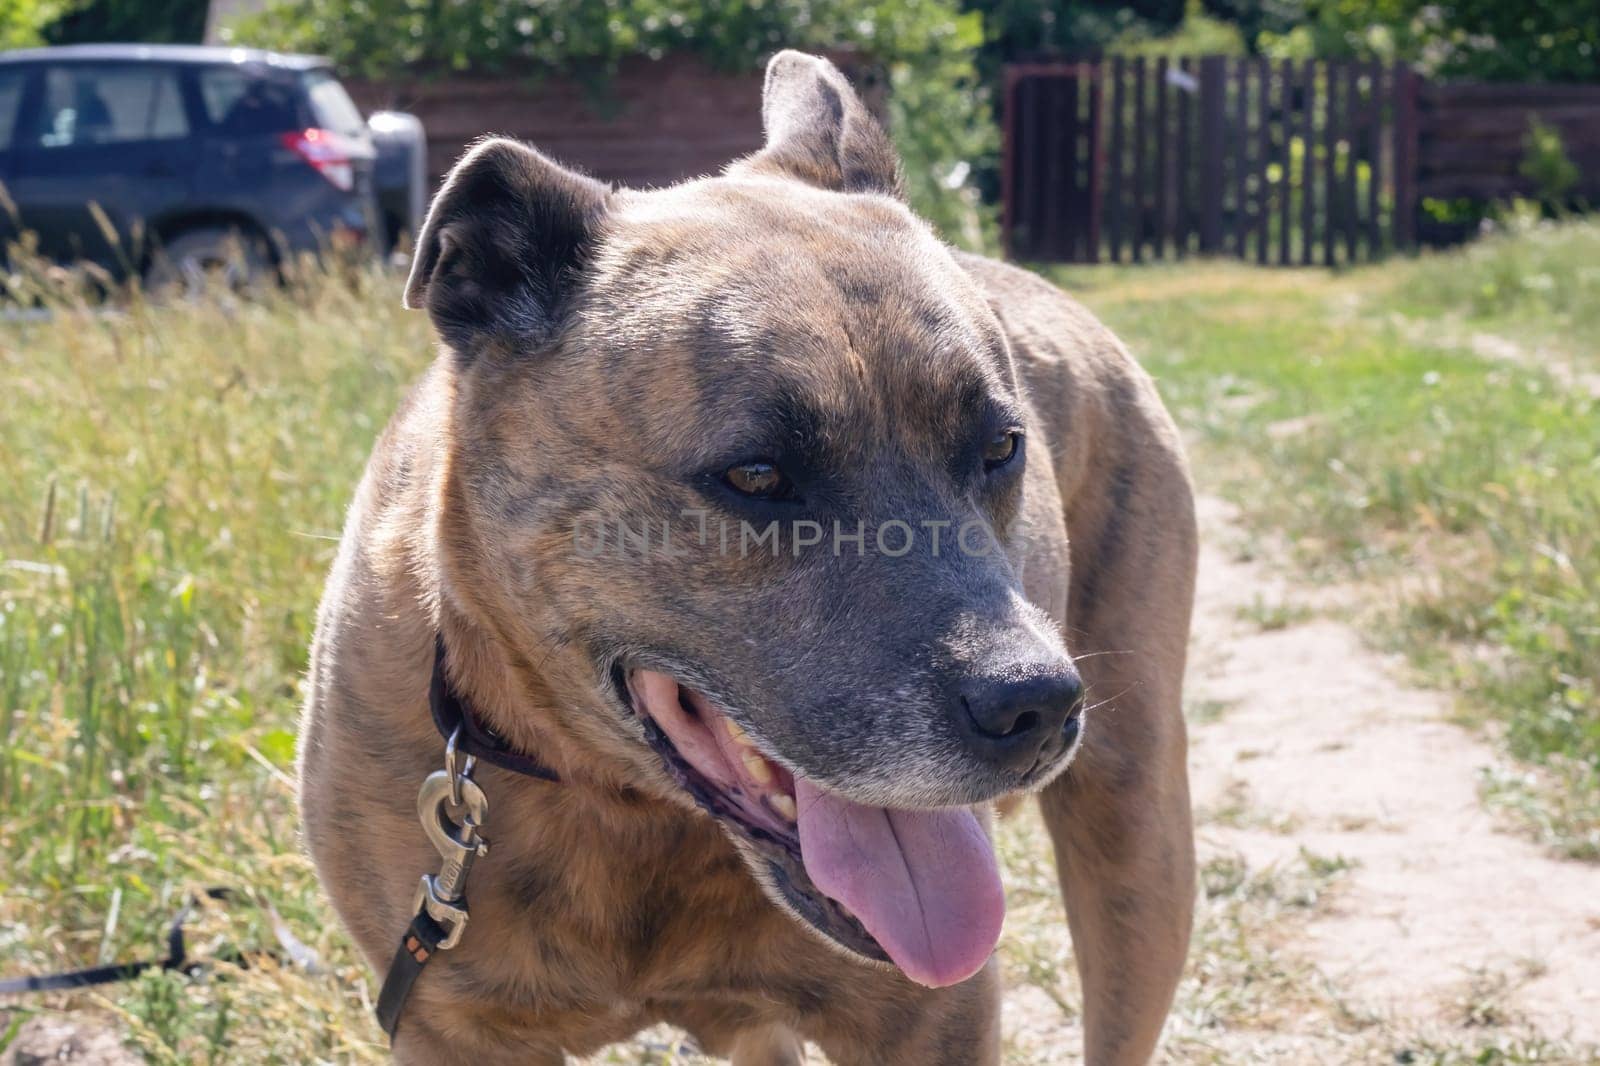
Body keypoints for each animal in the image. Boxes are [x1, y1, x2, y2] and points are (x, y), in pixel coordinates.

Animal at [302, 47, 1190, 1062]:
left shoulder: (933, 1020)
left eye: (1004, 446)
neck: (629, 810)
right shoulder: (449, 1030)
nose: (1037, 704)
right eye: (758, 474)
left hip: (1138, 850)